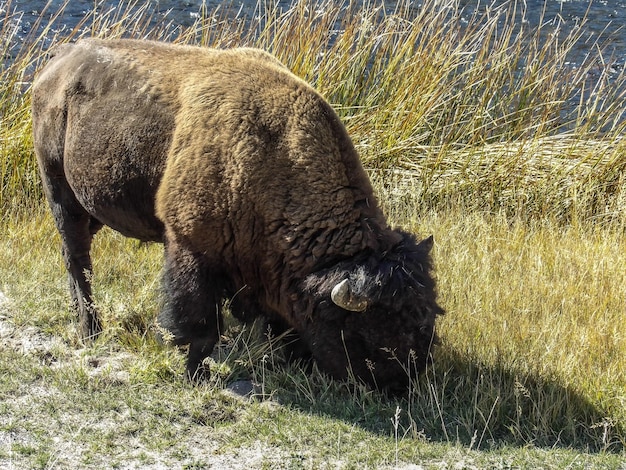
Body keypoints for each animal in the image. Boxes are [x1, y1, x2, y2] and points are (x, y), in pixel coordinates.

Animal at [31, 37, 442, 390]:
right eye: (370, 331)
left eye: (427, 320)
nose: (401, 386)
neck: (272, 158)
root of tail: (56, 64)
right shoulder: (190, 248)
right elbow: (200, 324)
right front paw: (195, 372)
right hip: (60, 193)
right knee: (77, 260)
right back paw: (91, 330)